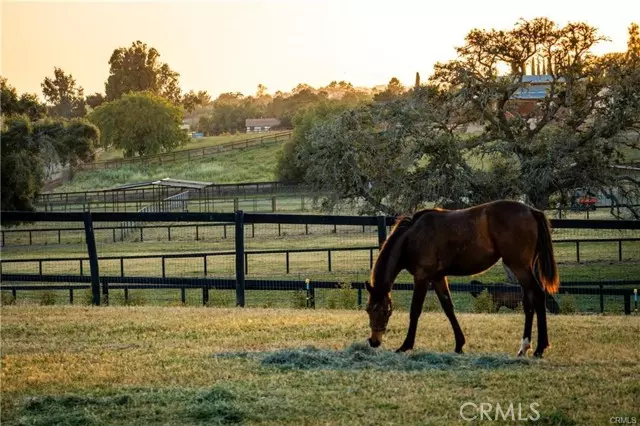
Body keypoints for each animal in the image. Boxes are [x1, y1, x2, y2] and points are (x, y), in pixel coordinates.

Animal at [364, 199, 560, 356]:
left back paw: (540, 348)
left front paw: (405, 346)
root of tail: (531, 211)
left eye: (384, 311)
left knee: (538, 295)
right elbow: (448, 308)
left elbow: (415, 311)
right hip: (525, 268)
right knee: (529, 302)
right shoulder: (438, 278)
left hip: (519, 267)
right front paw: (459, 344)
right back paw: (524, 347)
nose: (374, 341)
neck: (412, 236)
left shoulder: (422, 277)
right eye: (367, 310)